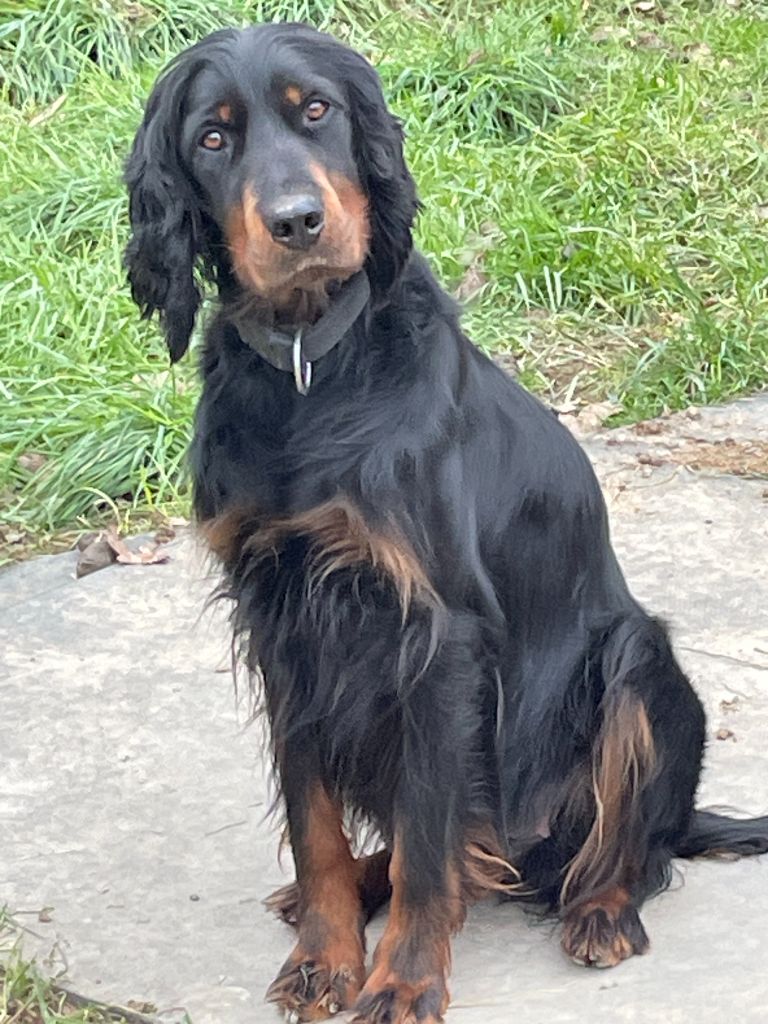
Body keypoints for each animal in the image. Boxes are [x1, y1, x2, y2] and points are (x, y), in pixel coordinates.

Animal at [126, 24, 768, 1024]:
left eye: (318, 110)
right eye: (213, 138)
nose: (298, 223)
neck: (314, 368)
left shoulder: (436, 634)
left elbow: (432, 841)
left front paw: (403, 978)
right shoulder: (283, 621)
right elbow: (314, 820)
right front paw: (326, 952)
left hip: (634, 660)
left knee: (627, 847)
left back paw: (602, 910)